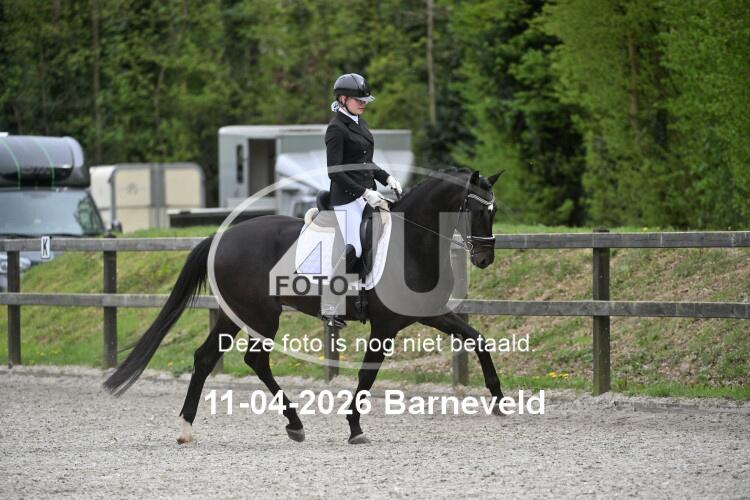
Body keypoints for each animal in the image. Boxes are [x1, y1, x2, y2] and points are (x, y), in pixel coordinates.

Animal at [104, 167, 505, 444]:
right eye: (475, 210)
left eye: (494, 211)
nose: (485, 258)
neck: (411, 243)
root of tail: (223, 237)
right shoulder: (384, 326)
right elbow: (367, 375)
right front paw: (354, 427)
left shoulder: (432, 314)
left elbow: (478, 339)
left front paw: (499, 401)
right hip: (261, 315)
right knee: (255, 360)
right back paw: (294, 423)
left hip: (235, 314)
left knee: (206, 358)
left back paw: (188, 428)